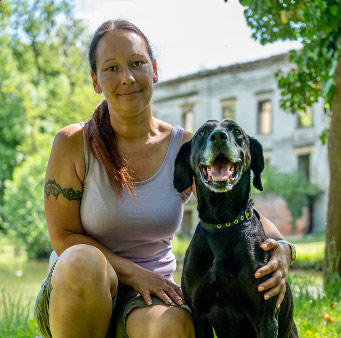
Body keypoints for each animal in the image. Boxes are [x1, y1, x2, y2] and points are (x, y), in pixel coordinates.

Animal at [174, 120, 296, 336]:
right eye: (202, 132)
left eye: (237, 132)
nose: (218, 137)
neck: (222, 224)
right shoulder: (198, 315)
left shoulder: (265, 318)